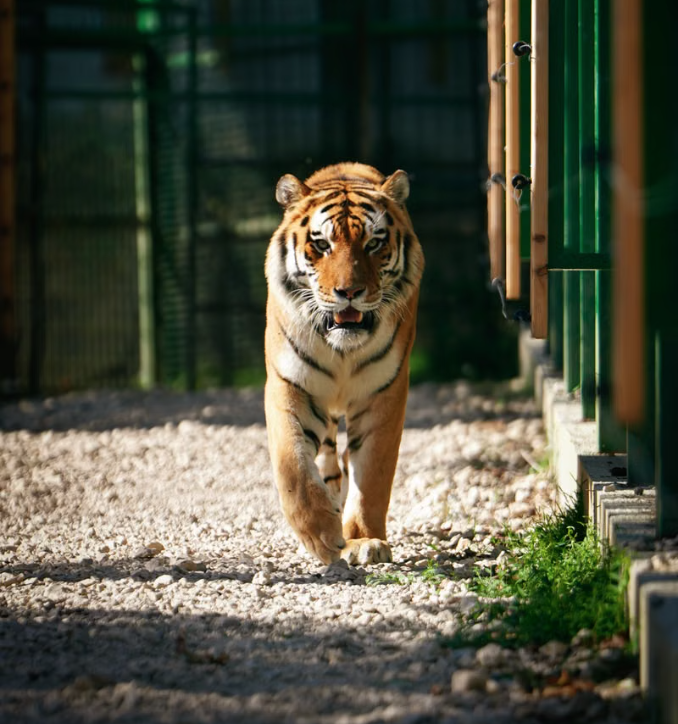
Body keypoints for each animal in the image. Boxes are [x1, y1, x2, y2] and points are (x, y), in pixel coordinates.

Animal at [264, 162, 424, 565]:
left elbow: (372, 478)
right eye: (322, 244)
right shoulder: (289, 386)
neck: (342, 352)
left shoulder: (384, 394)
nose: (349, 292)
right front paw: (323, 536)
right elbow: (294, 470)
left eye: (374, 243)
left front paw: (364, 540)